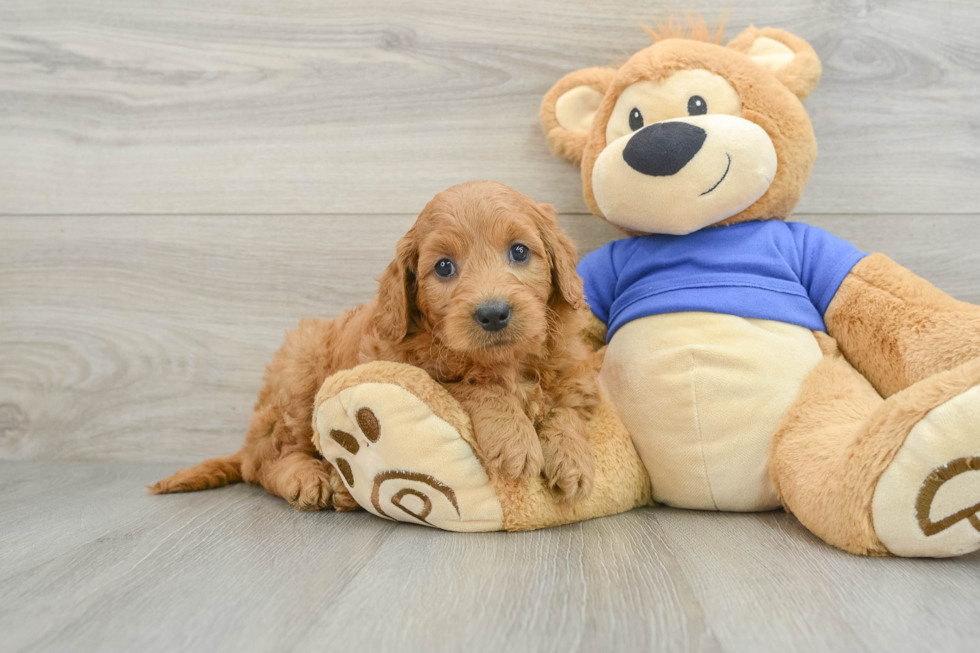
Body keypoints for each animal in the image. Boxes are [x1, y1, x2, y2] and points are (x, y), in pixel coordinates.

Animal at [151, 181, 596, 506]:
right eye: (444, 267)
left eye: (519, 251)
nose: (493, 314)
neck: (508, 360)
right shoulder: (415, 370)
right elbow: (477, 387)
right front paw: (515, 441)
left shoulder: (571, 374)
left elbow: (566, 410)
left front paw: (573, 459)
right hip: (298, 375)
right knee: (264, 462)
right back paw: (311, 479)